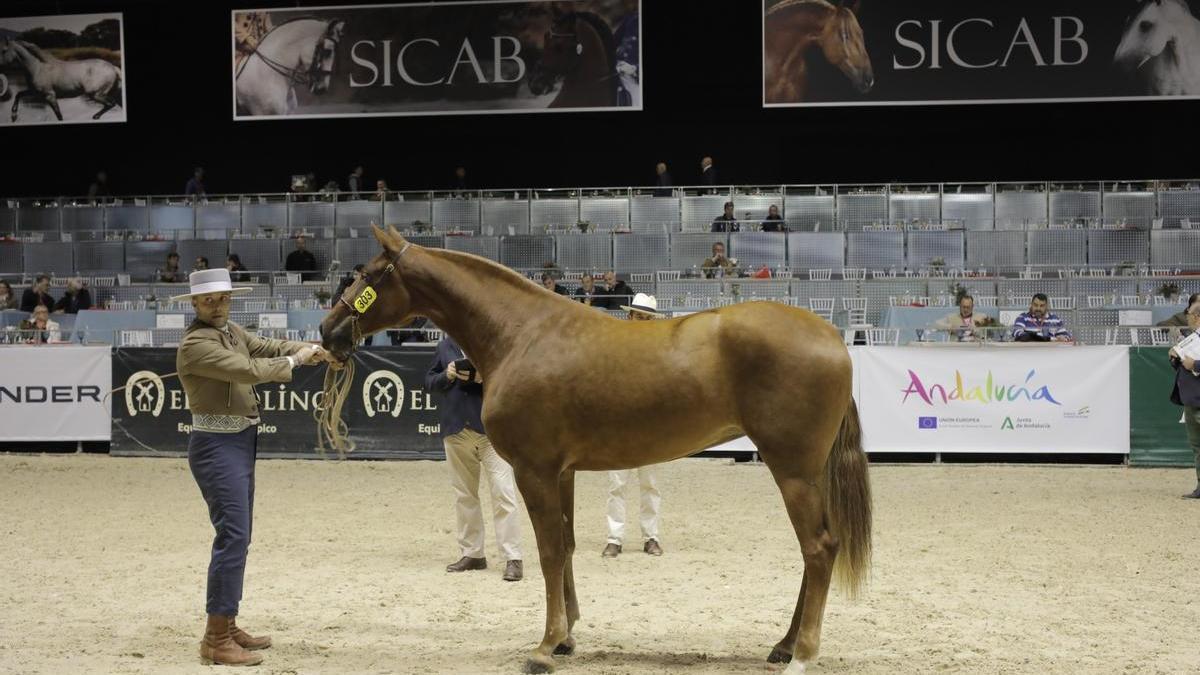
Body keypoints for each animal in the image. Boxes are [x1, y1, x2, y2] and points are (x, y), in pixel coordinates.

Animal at [321, 223, 873, 667]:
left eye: (367, 275)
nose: (328, 331)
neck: (522, 334)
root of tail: (832, 337)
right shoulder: (561, 471)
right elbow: (564, 548)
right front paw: (567, 638)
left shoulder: (533, 469)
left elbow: (547, 551)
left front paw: (545, 647)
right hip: (806, 472)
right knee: (814, 550)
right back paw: (783, 644)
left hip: (793, 470)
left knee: (819, 548)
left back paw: (802, 654)